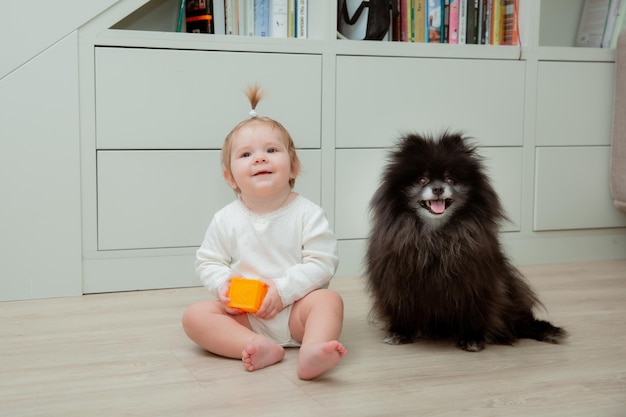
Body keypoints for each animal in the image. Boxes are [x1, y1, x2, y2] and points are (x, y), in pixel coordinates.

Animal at [366, 132, 564, 350]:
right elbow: (402, 309)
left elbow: (474, 313)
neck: (436, 235)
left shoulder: (475, 284)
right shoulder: (398, 284)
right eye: (422, 180)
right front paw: (401, 332)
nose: (437, 188)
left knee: (519, 320)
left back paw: (544, 330)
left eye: (450, 179)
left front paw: (472, 338)